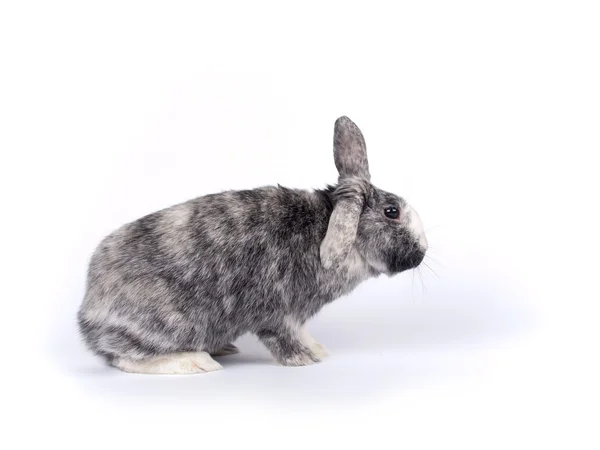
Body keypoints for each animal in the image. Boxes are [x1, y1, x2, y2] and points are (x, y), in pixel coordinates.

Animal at [78, 115, 426, 372]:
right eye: (392, 212)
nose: (421, 253)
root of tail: (88, 314)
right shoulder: (277, 311)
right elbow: (282, 338)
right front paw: (304, 360)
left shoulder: (297, 316)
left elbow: (302, 332)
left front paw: (318, 350)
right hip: (170, 324)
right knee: (124, 358)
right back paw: (195, 361)